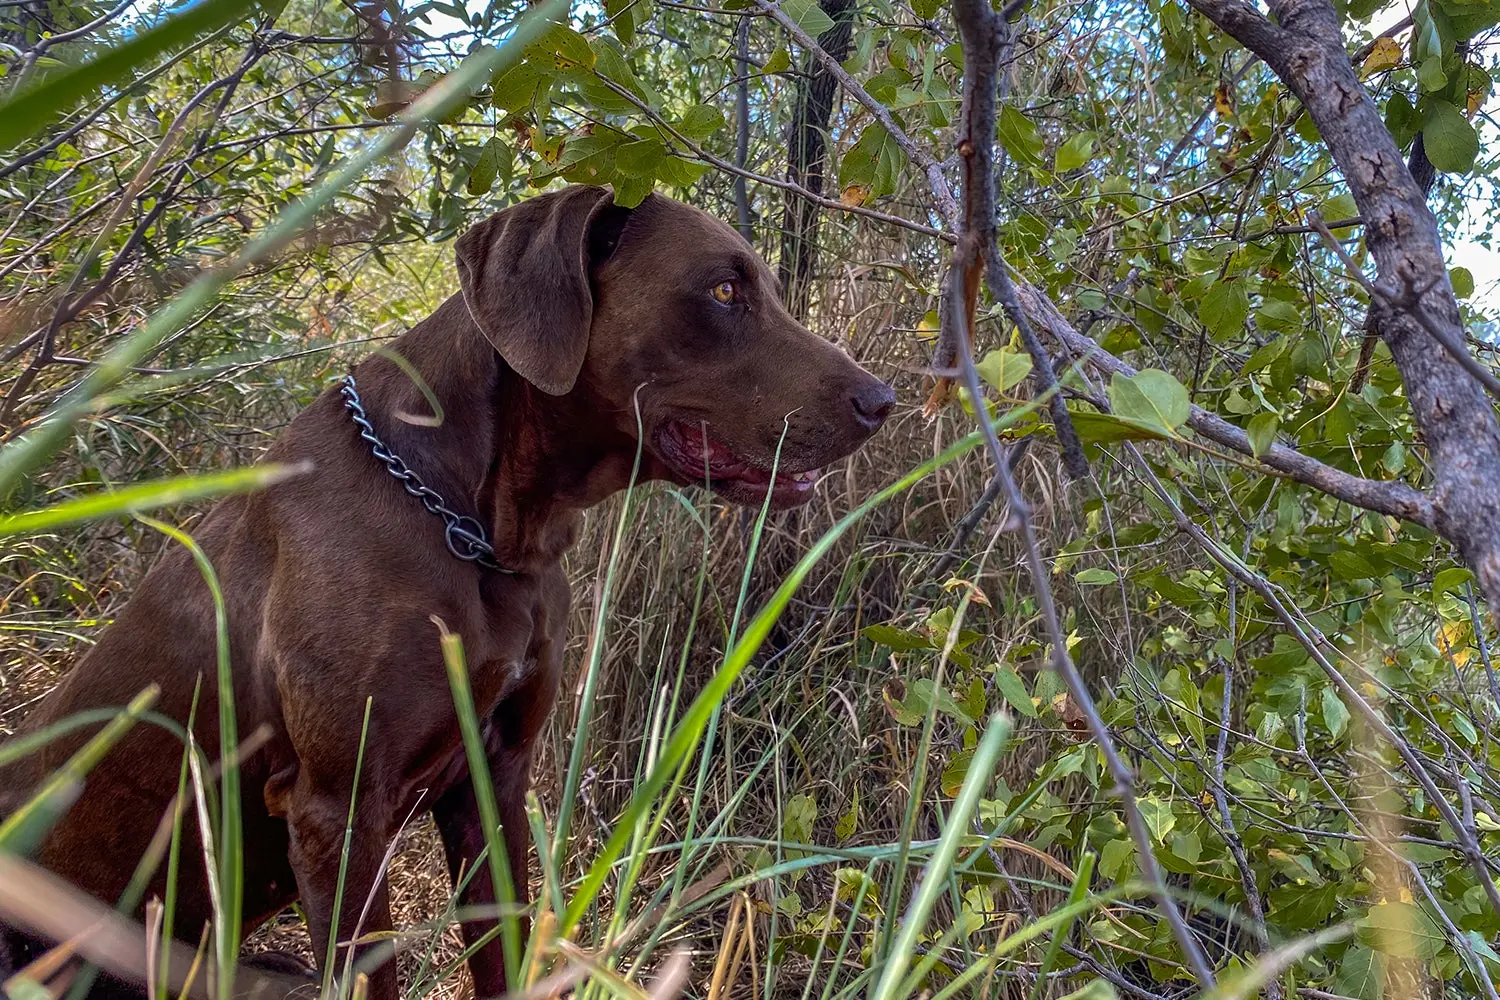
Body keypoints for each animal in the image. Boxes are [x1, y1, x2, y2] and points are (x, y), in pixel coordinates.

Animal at [0, 183, 888, 995]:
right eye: (724, 291)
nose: (882, 400)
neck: (475, 525)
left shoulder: (495, 780)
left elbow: (502, 948)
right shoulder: (338, 813)